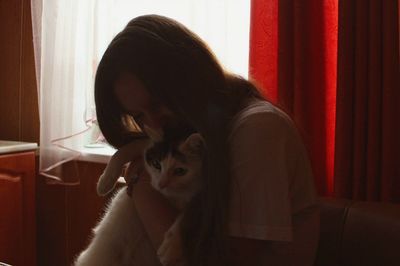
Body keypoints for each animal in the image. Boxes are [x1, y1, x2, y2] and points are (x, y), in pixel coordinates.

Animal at [74, 127, 203, 266]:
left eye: (180, 171)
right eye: (157, 164)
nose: (161, 184)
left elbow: (192, 212)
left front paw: (172, 246)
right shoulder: (147, 146)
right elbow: (126, 149)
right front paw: (105, 181)